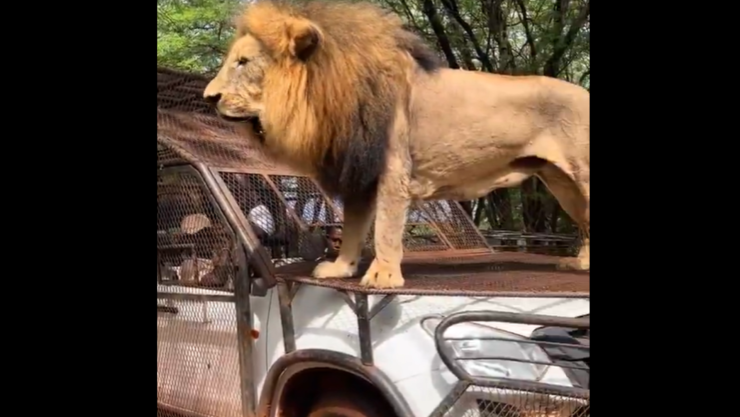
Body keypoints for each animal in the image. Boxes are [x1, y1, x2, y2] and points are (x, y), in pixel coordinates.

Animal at [203, 0, 590, 289]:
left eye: (243, 62)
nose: (209, 97)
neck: (327, 95)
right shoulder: (360, 177)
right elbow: (354, 228)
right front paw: (341, 269)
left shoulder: (392, 172)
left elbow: (386, 228)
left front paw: (383, 276)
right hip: (562, 184)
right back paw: (580, 264)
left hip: (581, 177)